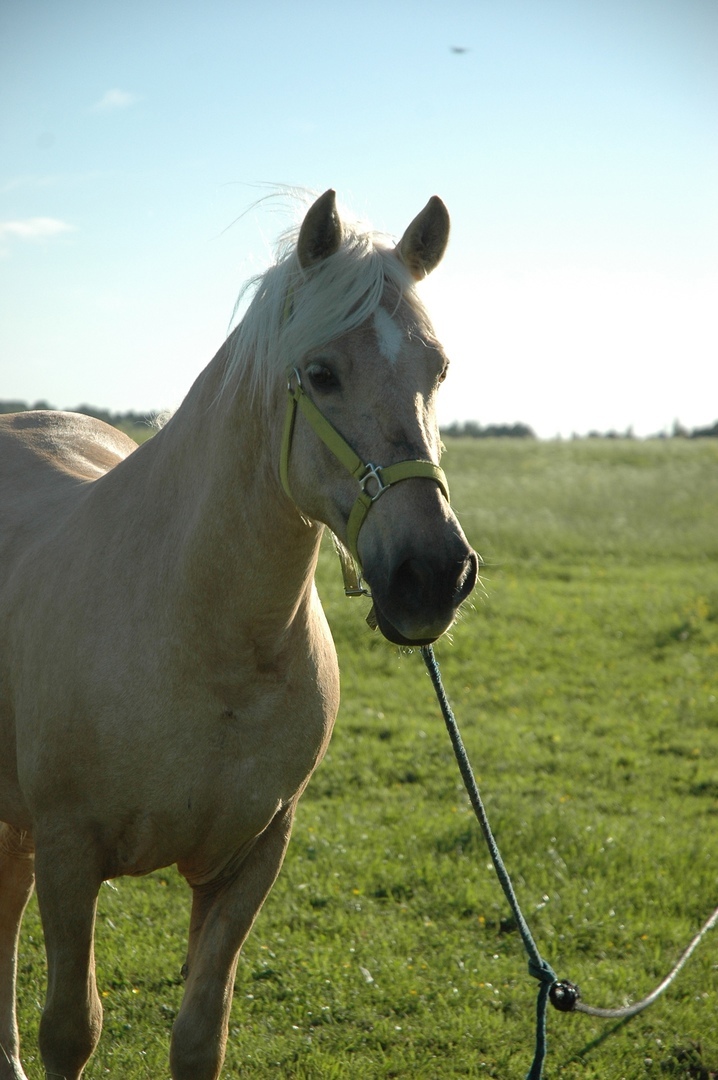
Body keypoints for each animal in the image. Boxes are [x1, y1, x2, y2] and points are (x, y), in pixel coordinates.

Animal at [0, 190, 475, 1075]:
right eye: (320, 374)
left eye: (438, 370)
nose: (433, 574)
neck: (208, 640)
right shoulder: (71, 853)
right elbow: (72, 1029)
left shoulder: (251, 856)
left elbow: (199, 1034)